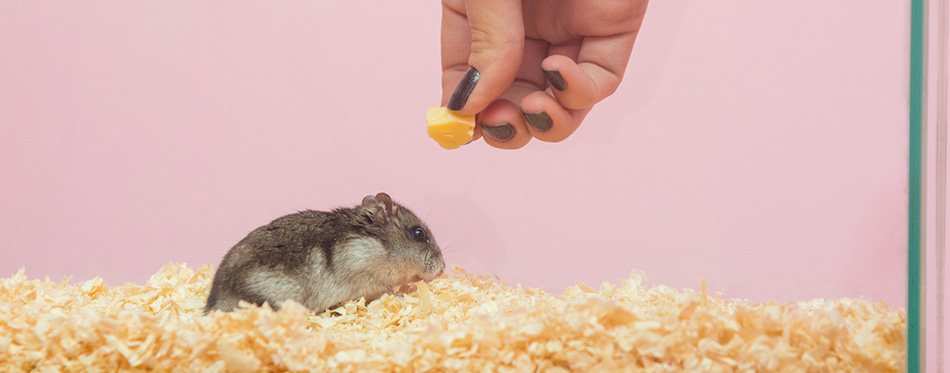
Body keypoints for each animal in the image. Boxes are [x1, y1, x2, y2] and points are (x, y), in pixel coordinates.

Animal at [204, 193, 446, 312]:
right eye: (418, 233)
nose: (443, 270)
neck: (380, 246)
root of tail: (213, 306)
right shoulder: (367, 278)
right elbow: (385, 290)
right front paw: (402, 295)